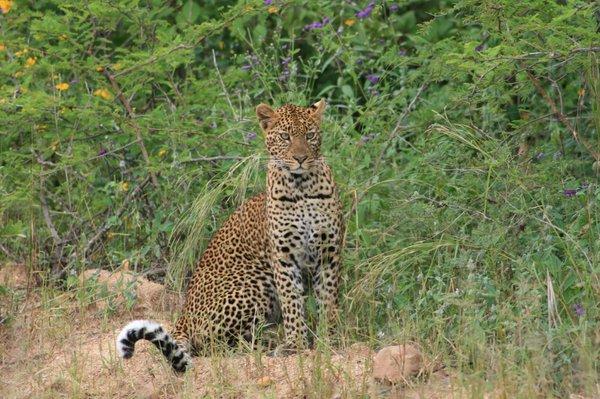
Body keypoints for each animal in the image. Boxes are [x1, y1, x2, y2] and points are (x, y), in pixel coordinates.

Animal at [116, 99, 342, 372]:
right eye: (285, 137)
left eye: (310, 135)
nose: (300, 158)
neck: (302, 188)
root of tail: (184, 315)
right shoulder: (284, 257)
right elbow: (292, 302)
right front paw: (296, 344)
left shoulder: (329, 252)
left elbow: (327, 300)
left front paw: (328, 339)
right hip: (253, 282)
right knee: (213, 342)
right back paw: (268, 343)